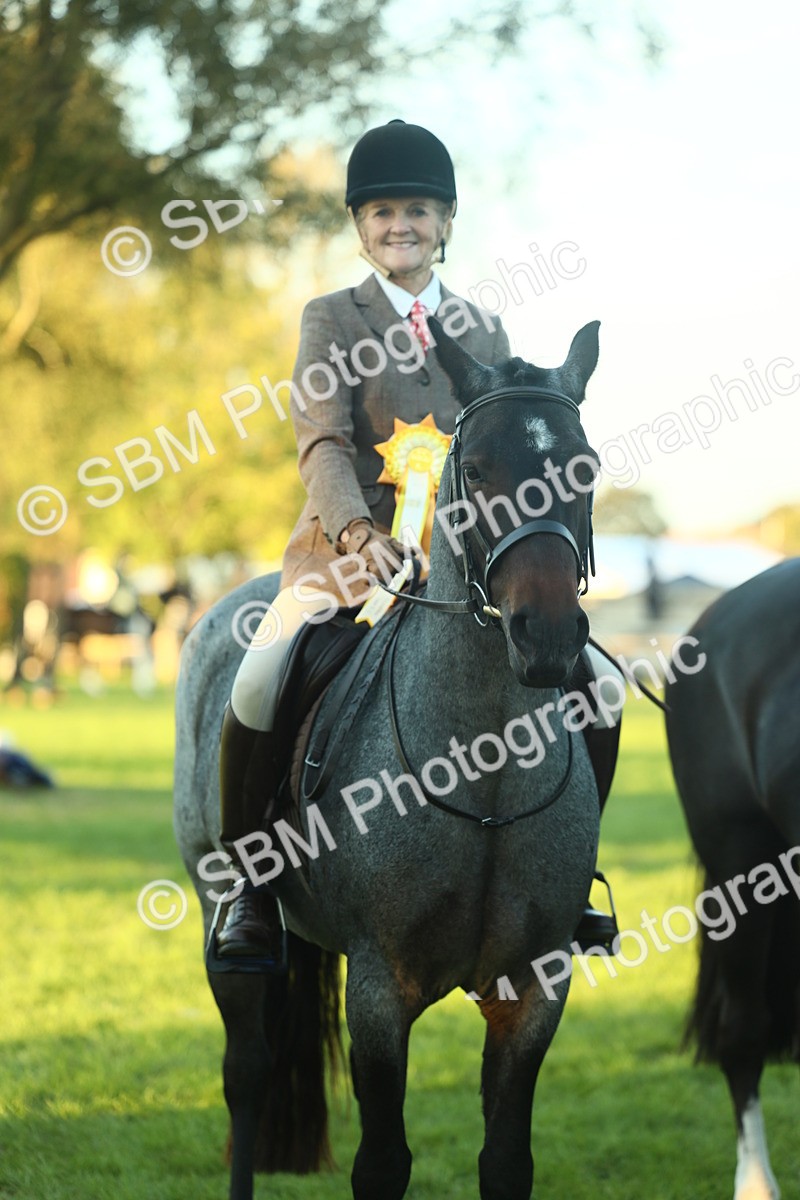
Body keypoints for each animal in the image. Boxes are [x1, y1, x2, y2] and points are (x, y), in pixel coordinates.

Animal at [174, 317, 605, 1200]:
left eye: (586, 467)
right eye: (477, 469)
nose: (546, 636)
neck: (485, 770)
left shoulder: (534, 987)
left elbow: (507, 1161)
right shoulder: (380, 986)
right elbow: (381, 1164)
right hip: (211, 895)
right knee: (247, 1071)